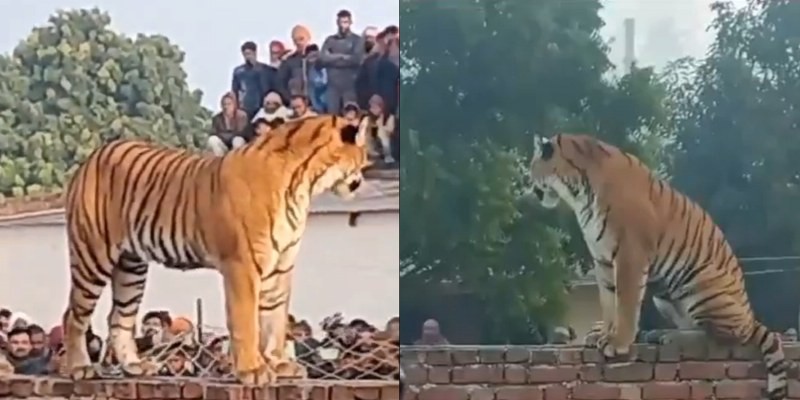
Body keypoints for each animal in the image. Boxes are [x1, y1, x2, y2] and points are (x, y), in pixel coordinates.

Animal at [61, 113, 372, 384]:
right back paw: (79, 368)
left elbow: (274, 319)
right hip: (92, 256)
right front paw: (253, 371)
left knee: (119, 317)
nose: (361, 182)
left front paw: (280, 364)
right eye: (363, 159)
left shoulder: (281, 265)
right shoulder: (243, 264)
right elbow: (246, 321)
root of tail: (96, 154)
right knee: (74, 315)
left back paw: (135, 366)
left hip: (131, 266)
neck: (304, 183)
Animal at [528, 134, 792, 400]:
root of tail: (750, 317)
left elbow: (625, 302)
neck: (578, 191)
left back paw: (669, 337)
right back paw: (658, 334)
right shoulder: (602, 259)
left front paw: (617, 342)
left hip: (701, 282)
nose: (530, 187)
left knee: (722, 337)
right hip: (665, 295)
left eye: (531, 168)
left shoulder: (629, 253)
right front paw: (602, 334)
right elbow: (608, 300)